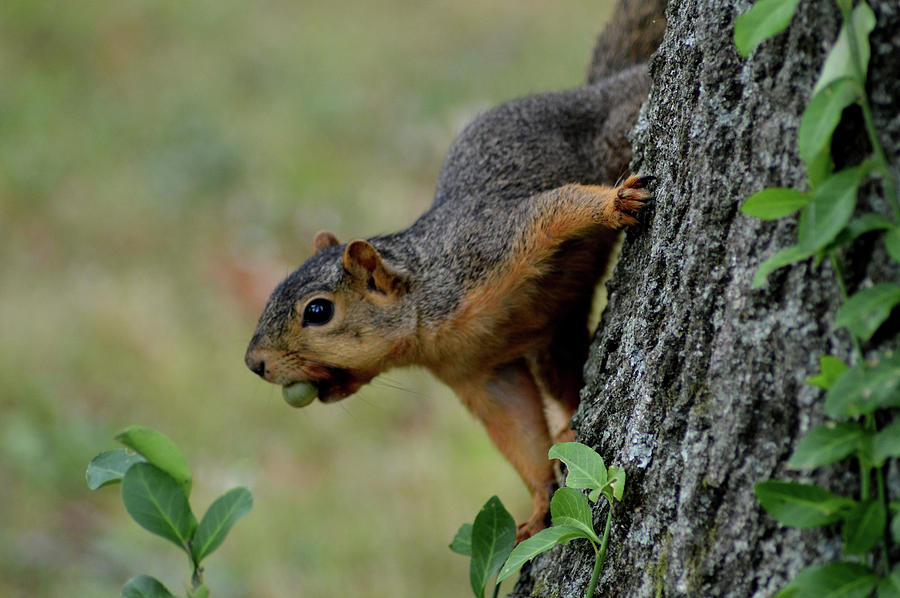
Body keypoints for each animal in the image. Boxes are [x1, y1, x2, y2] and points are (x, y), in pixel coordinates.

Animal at [243, 0, 664, 544]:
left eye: (317, 311)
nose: (254, 363)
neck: (429, 322)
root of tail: (586, 90)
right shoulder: (479, 373)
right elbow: (517, 430)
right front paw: (537, 503)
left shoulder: (488, 245)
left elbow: (553, 210)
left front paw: (614, 204)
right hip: (554, 339)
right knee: (563, 375)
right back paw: (571, 424)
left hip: (612, 124)